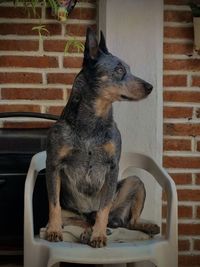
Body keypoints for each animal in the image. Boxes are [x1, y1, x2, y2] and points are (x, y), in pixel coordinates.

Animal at [45, 27, 159, 249]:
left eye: (129, 69)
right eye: (119, 69)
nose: (150, 87)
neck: (92, 123)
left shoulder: (112, 166)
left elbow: (103, 209)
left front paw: (98, 235)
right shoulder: (53, 164)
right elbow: (53, 204)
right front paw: (53, 231)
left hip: (135, 182)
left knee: (127, 221)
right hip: (72, 213)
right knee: (79, 220)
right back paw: (85, 231)